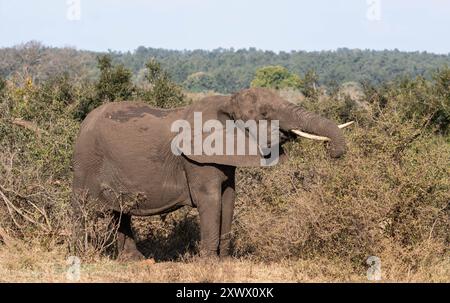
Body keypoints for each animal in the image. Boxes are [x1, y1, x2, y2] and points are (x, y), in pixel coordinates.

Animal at [71, 87, 352, 262]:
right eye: (264, 114)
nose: (332, 151)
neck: (226, 103)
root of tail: (84, 122)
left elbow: (229, 199)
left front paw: (226, 261)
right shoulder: (196, 159)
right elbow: (210, 200)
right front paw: (209, 264)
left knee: (119, 212)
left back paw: (134, 260)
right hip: (86, 161)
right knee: (83, 207)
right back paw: (79, 254)